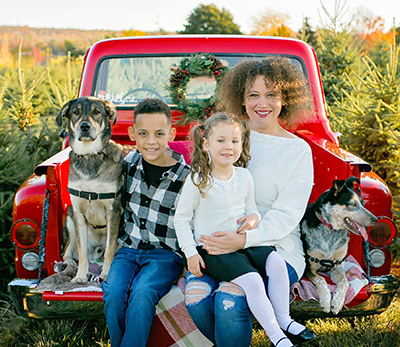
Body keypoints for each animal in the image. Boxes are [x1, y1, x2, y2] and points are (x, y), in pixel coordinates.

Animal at [55, 96, 122, 284]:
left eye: (96, 112)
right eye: (76, 112)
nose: (85, 126)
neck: (89, 156)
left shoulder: (113, 211)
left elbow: (109, 250)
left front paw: (106, 274)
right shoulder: (78, 213)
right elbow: (82, 251)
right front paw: (80, 276)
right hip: (69, 218)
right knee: (68, 252)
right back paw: (69, 264)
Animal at [302, 177, 376, 316]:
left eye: (362, 202)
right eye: (353, 204)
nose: (375, 219)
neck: (330, 231)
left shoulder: (337, 267)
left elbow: (345, 282)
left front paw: (337, 302)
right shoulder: (308, 268)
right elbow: (321, 279)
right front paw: (326, 300)